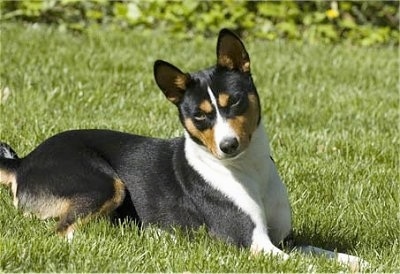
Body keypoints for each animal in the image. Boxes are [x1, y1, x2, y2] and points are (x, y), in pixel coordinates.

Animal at [0, 28, 368, 270]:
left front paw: (360, 261)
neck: (250, 171)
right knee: (64, 232)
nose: (228, 145)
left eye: (234, 102)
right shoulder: (254, 243)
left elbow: (324, 253)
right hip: (104, 184)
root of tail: (24, 161)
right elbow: (308, 266)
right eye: (200, 116)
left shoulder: (282, 239)